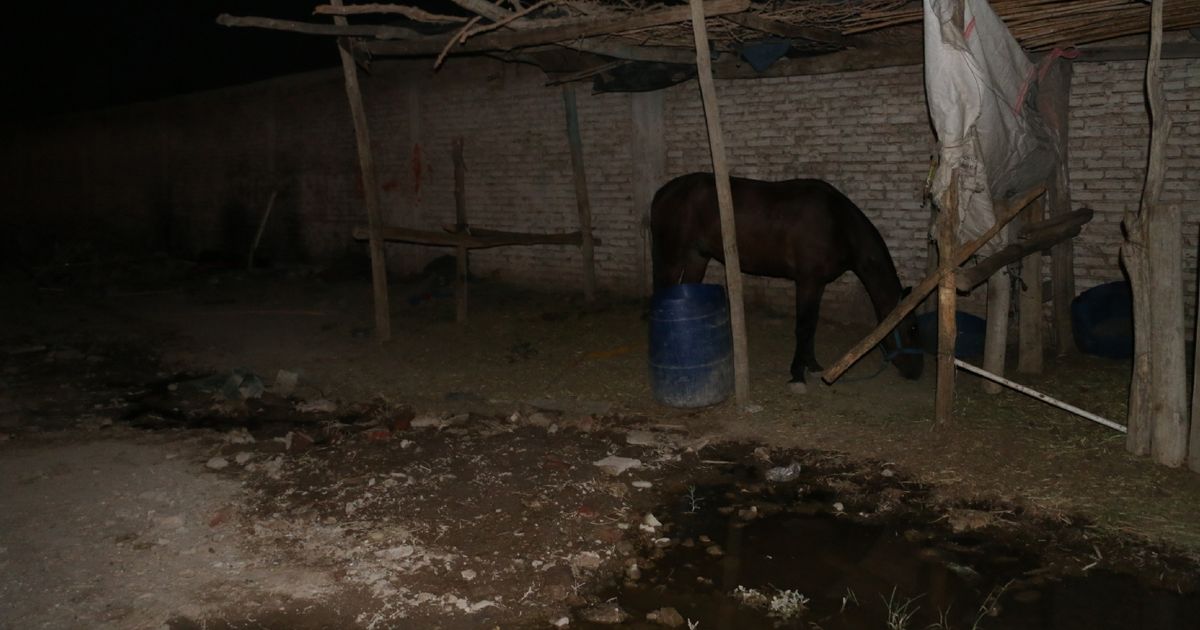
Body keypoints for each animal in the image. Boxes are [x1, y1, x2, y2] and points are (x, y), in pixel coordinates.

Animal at [652, 171, 921, 393]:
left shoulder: (818, 284)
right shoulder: (807, 281)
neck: (838, 223)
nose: (916, 372)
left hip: (697, 257)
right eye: (911, 329)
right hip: (672, 256)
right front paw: (797, 376)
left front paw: (813, 366)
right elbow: (803, 326)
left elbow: (812, 324)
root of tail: (664, 192)